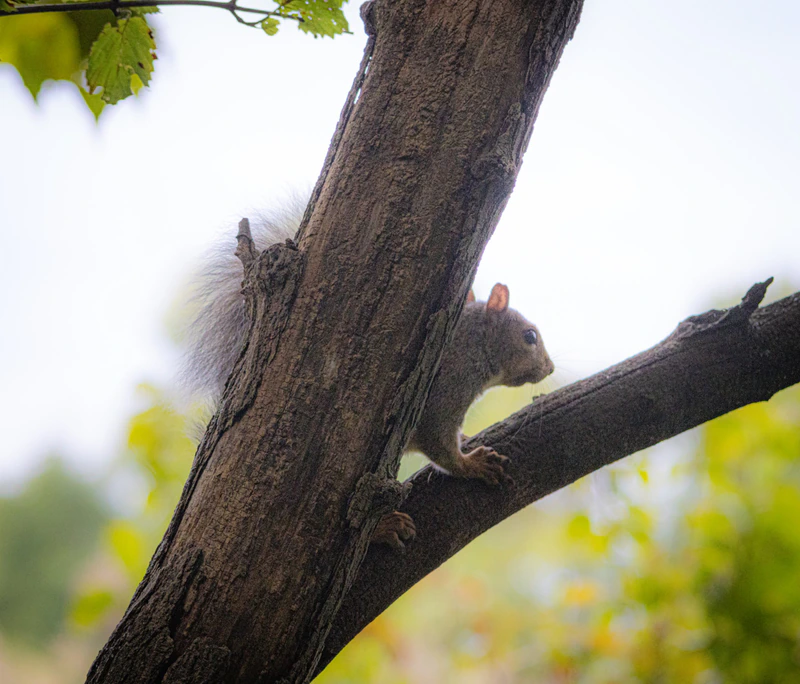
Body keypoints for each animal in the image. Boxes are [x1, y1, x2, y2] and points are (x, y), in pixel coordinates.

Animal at [182, 202, 555, 549]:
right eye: (530, 336)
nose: (550, 368)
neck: (473, 343)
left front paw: (465, 440)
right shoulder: (449, 388)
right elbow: (439, 443)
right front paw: (473, 466)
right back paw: (384, 528)